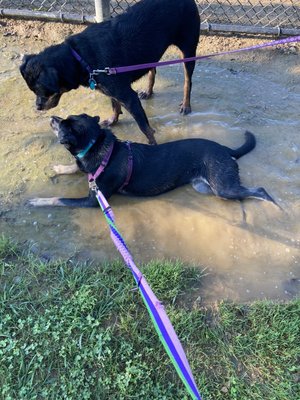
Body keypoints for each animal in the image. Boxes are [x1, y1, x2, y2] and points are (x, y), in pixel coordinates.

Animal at [19, 0, 200, 145]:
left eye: (44, 92)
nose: (37, 106)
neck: (79, 57)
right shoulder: (111, 88)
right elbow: (114, 104)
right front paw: (113, 120)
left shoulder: (129, 97)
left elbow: (145, 127)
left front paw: (153, 144)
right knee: (152, 71)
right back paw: (148, 92)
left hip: (188, 50)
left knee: (188, 81)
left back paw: (186, 104)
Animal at [28, 112, 276, 206]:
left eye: (62, 124)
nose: (51, 116)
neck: (97, 146)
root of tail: (224, 148)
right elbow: (74, 166)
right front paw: (59, 168)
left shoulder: (94, 199)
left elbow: (59, 199)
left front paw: (37, 200)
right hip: (204, 186)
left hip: (223, 187)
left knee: (261, 190)